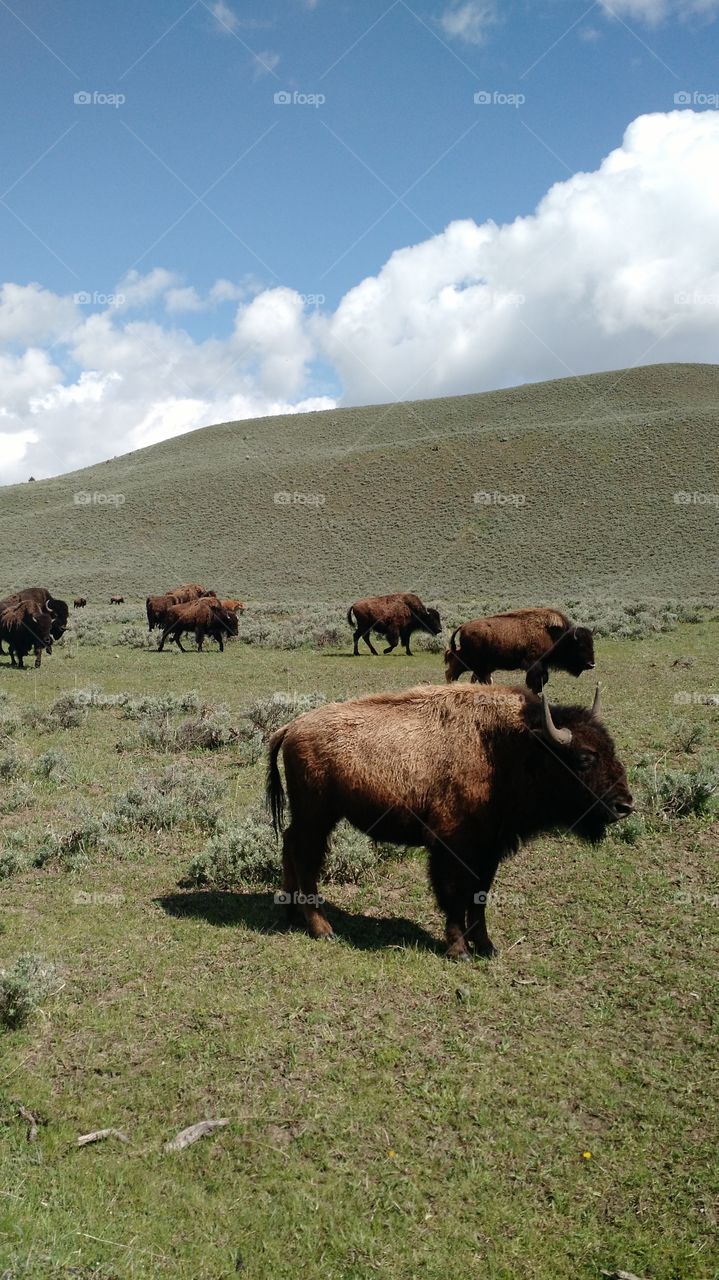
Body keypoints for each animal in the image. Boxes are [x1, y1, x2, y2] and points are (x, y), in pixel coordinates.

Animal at [267, 682, 632, 958]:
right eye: (584, 758)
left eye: (611, 748)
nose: (624, 805)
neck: (510, 748)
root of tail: (292, 727)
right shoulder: (452, 846)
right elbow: (455, 896)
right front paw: (459, 950)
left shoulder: (489, 849)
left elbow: (479, 898)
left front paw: (487, 947)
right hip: (317, 815)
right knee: (305, 857)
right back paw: (322, 928)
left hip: (311, 816)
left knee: (290, 846)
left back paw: (291, 912)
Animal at [445, 608, 595, 693]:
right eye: (580, 646)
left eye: (592, 644)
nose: (591, 664)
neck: (555, 636)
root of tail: (463, 626)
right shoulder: (535, 664)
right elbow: (536, 682)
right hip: (473, 662)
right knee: (452, 671)